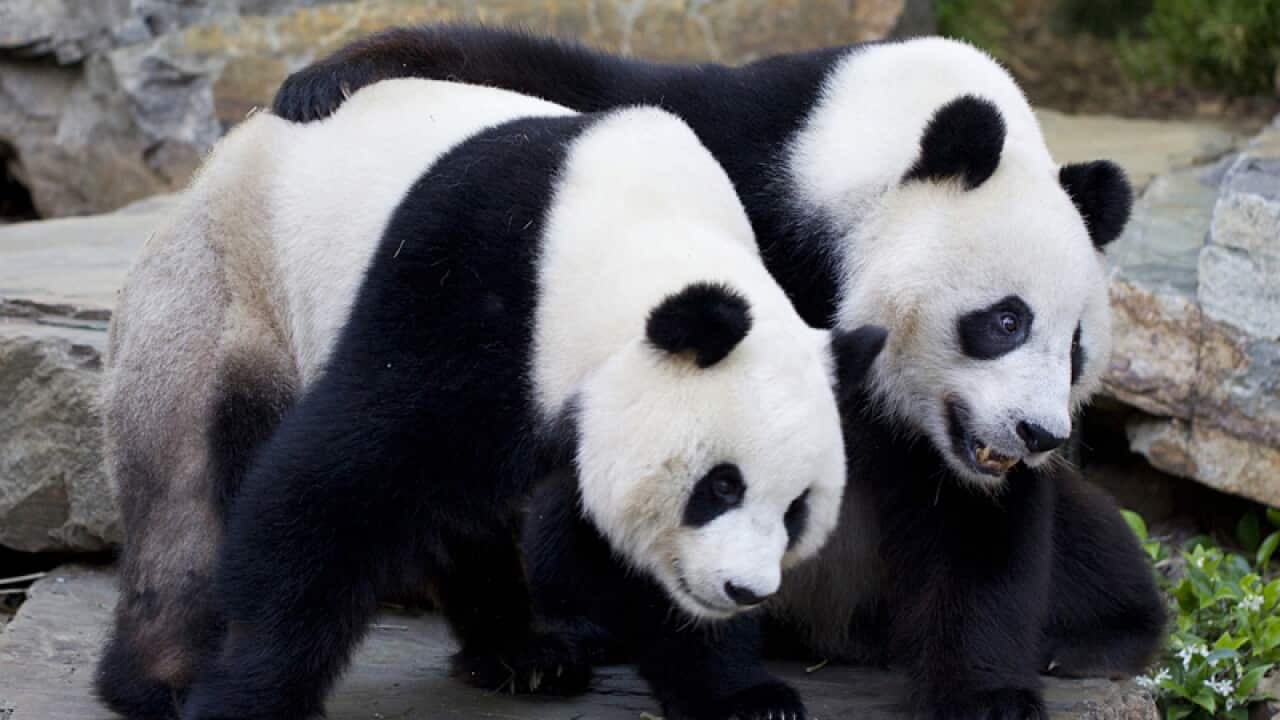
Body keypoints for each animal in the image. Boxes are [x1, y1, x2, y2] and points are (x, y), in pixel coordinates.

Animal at [95, 78, 889, 720]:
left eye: (797, 508)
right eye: (720, 486)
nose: (744, 589)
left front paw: (744, 697)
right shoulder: (469, 286)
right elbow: (329, 489)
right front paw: (248, 696)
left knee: (460, 511)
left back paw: (524, 654)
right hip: (226, 294)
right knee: (187, 497)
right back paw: (162, 682)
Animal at [272, 28, 1167, 718]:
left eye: (1077, 349)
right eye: (1006, 320)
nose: (1039, 433)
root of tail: (834, 627)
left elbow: (982, 524)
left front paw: (989, 694)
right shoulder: (750, 162)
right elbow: (587, 89)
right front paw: (338, 73)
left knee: (1094, 544)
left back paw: (1094, 637)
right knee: (567, 533)